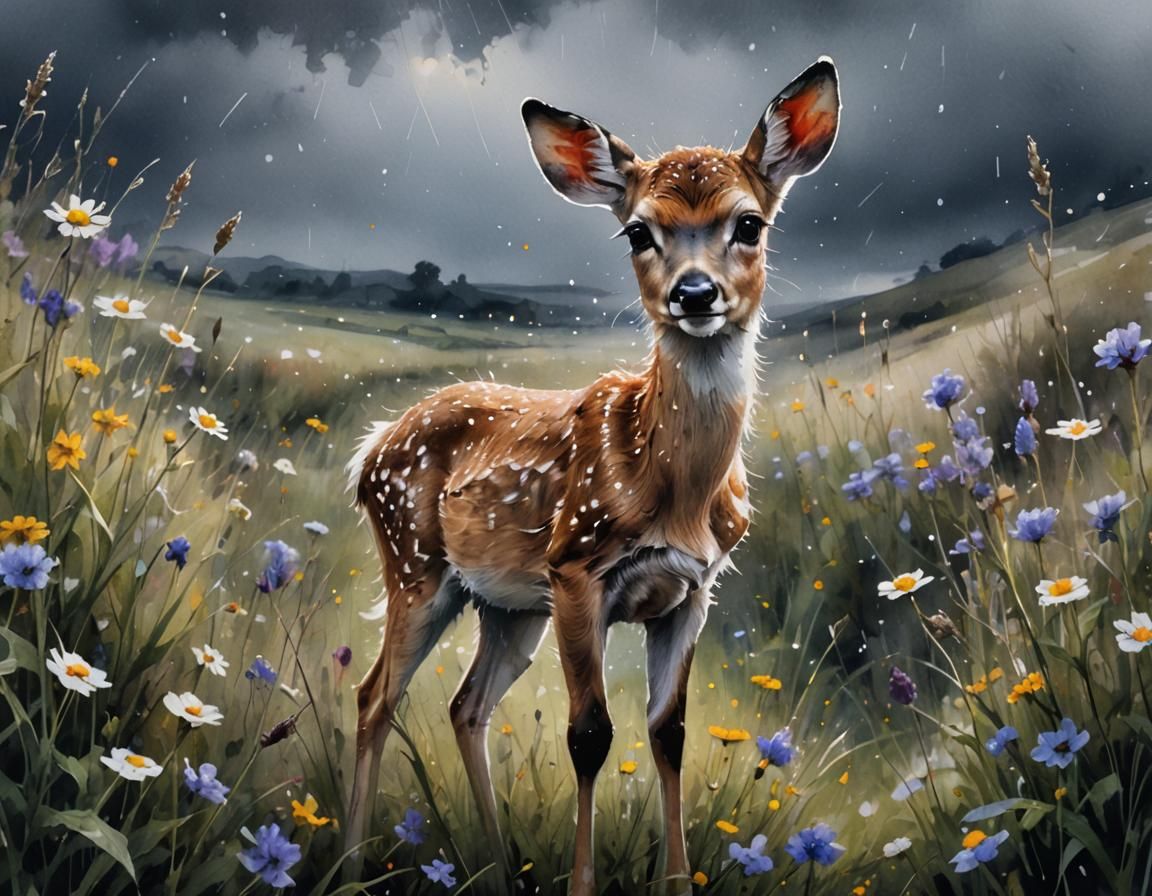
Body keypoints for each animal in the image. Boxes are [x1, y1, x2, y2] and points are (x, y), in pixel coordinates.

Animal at [344, 58, 841, 895]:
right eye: (639, 231)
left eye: (749, 224)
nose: (695, 293)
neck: (673, 488)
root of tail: (372, 445)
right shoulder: (577, 569)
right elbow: (590, 735)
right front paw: (581, 884)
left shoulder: (691, 590)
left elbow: (669, 733)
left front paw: (677, 881)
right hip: (417, 566)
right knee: (376, 694)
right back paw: (347, 860)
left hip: (509, 605)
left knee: (465, 705)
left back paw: (500, 866)